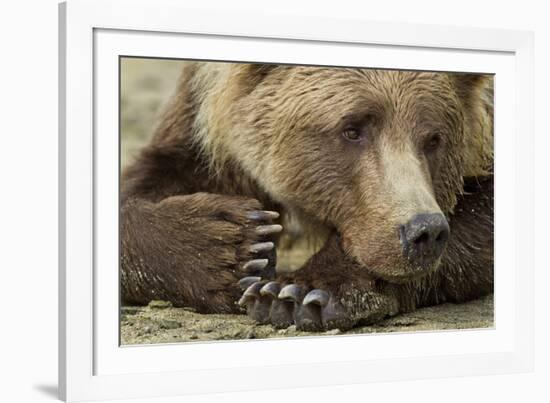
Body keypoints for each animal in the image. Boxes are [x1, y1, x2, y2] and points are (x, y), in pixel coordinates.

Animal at [122, 63, 496, 332]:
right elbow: (150, 179)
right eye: (352, 129)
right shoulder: (199, 122)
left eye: (434, 139)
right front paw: (233, 244)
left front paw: (299, 293)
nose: (424, 231)